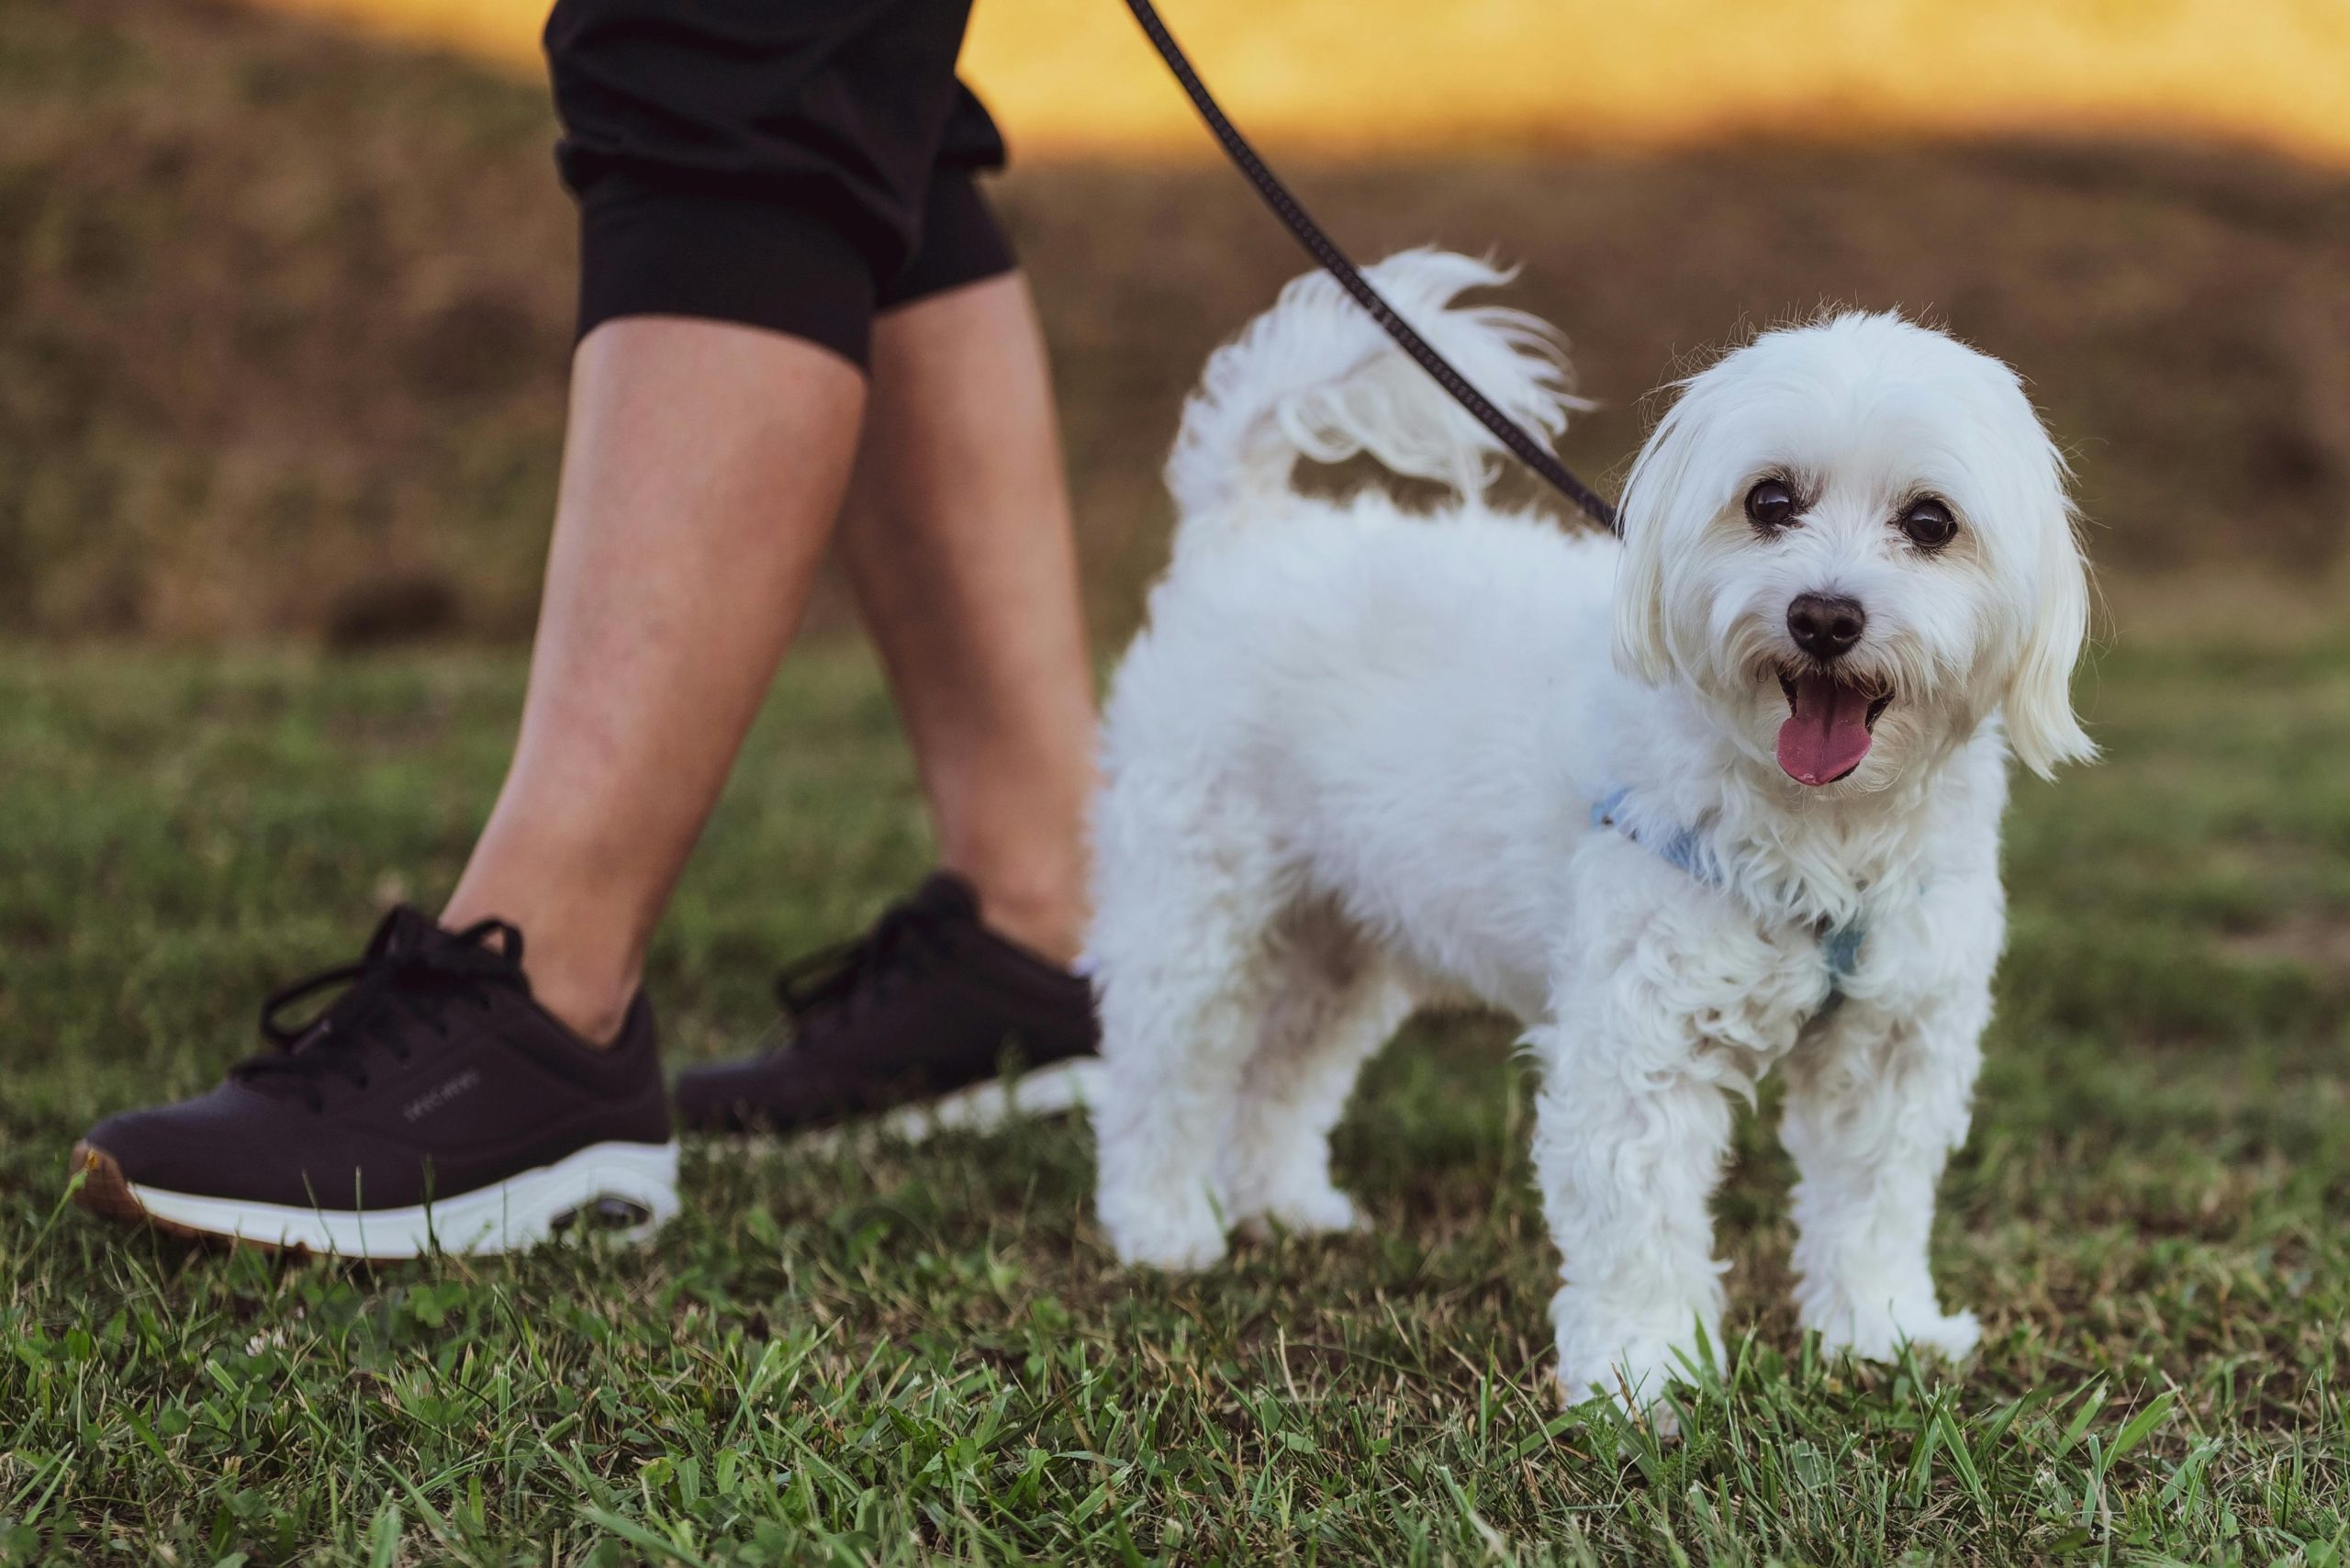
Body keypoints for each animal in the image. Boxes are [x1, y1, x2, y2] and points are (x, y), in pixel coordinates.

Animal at [1080, 251, 2096, 1419]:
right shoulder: (1640, 1039)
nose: (1824, 616)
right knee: (1158, 1069)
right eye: (1770, 500)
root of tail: (1245, 529)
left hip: (1345, 940)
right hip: (1194, 907)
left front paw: (1881, 1330)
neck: (1823, 832)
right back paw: (1160, 1225)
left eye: (1931, 522)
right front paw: (1638, 1372)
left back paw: (1284, 1202)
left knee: (1281, 1072)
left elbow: (1874, 1204)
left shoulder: (1893, 1044)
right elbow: (1637, 1216)